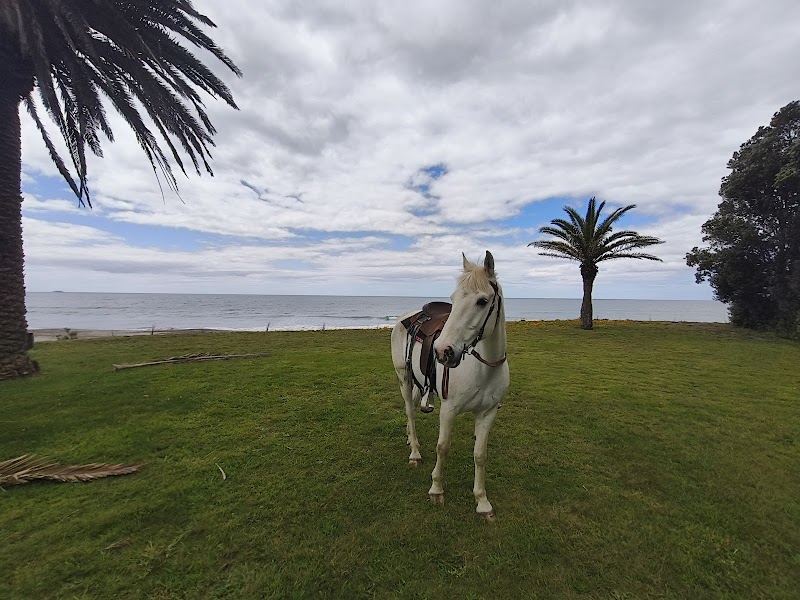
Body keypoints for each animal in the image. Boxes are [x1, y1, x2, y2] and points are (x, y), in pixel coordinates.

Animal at [390, 251, 509, 521]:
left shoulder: (488, 413)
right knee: (410, 411)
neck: (483, 367)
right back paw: (415, 452)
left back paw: (409, 439)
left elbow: (480, 455)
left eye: (482, 301)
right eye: (454, 299)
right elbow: (442, 447)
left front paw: (482, 502)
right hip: (404, 377)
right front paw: (436, 489)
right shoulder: (448, 410)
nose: (442, 351)